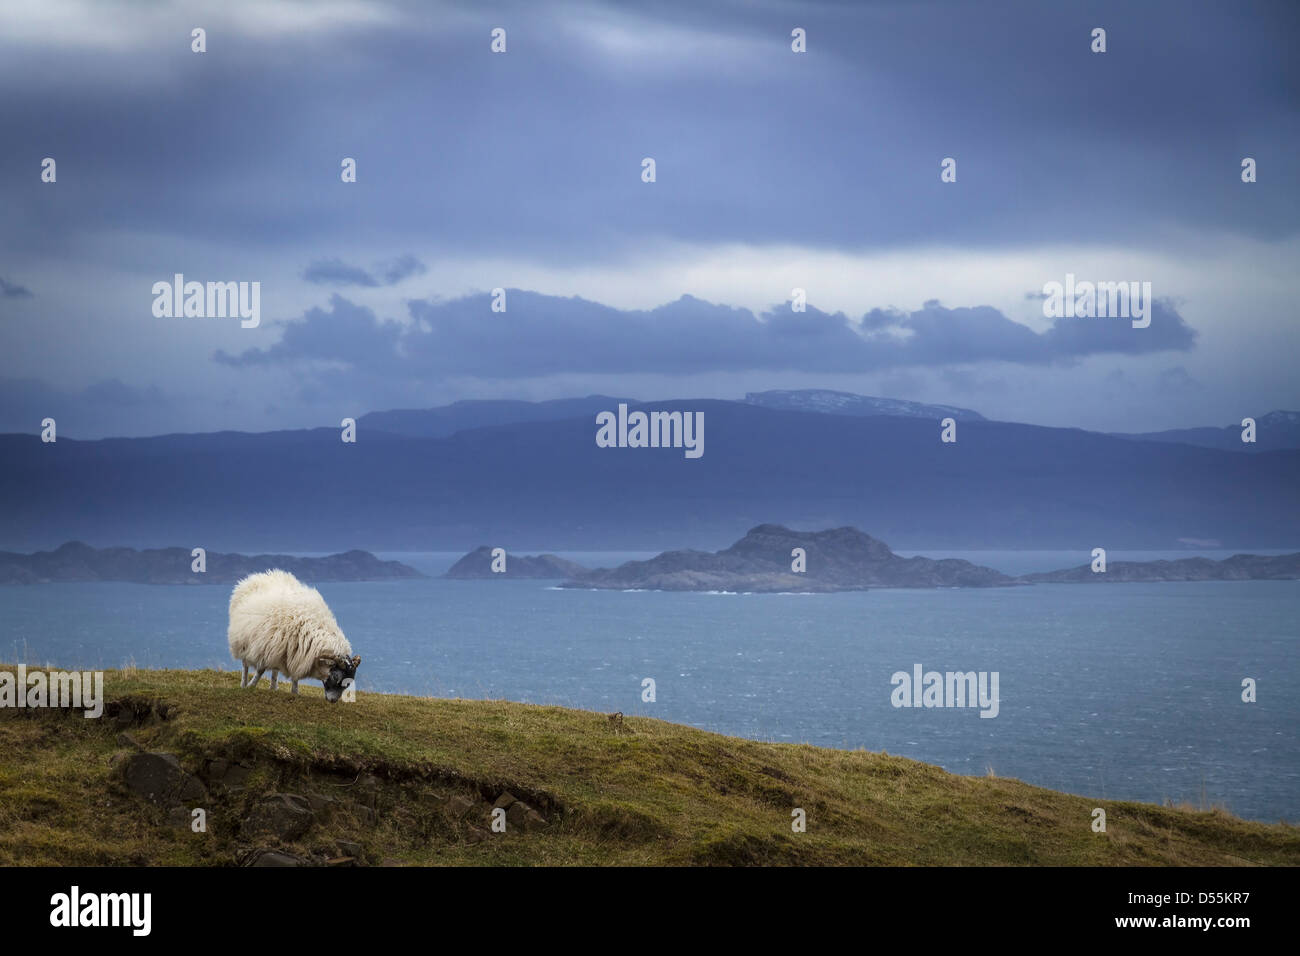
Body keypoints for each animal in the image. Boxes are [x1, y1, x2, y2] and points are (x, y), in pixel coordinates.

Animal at [228, 567, 361, 702]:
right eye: (335, 677)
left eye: (348, 683)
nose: (333, 701)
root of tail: (259, 576)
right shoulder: (266, 647)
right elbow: (260, 670)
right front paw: (251, 685)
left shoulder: (296, 652)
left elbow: (295, 673)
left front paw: (295, 692)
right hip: (244, 640)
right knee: (245, 665)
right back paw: (244, 683)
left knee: (274, 669)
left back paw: (273, 687)